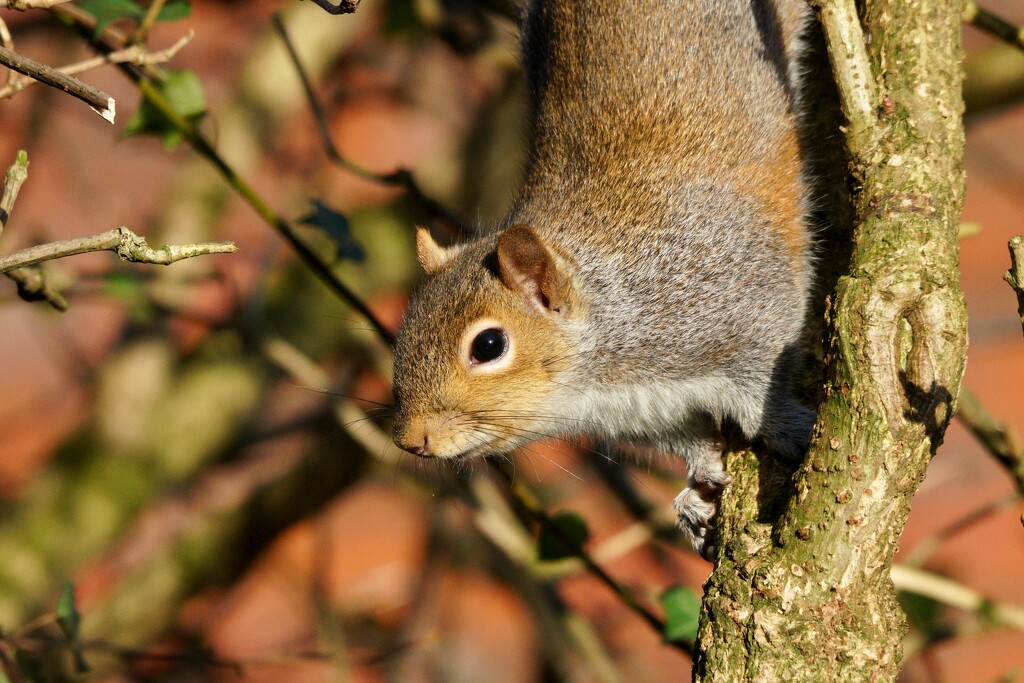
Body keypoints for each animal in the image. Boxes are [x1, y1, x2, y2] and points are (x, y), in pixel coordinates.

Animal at [389, 0, 815, 557]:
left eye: (488, 345)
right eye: (403, 332)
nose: (410, 440)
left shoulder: (734, 297)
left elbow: (765, 373)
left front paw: (787, 424)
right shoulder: (650, 416)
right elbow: (691, 440)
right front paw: (695, 492)